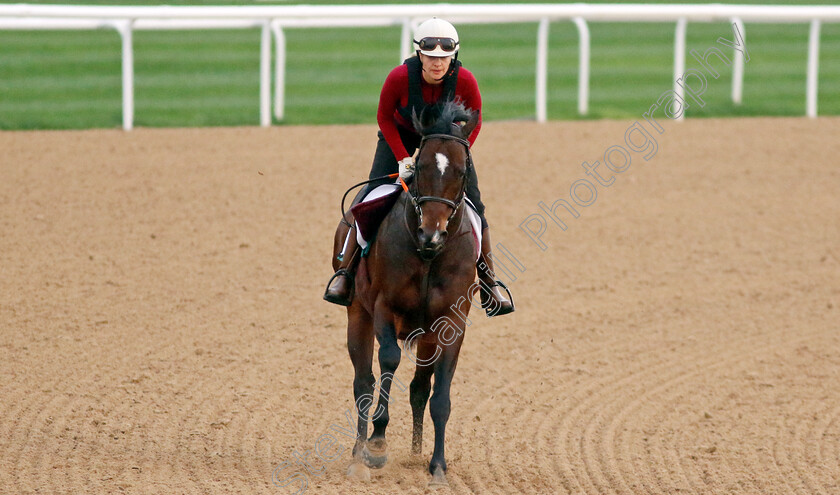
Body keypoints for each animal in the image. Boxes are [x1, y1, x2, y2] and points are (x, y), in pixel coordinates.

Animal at [334, 101, 482, 488]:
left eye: (461, 170)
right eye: (421, 166)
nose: (432, 233)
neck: (428, 255)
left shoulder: (452, 323)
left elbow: (439, 395)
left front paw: (438, 466)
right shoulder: (384, 307)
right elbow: (388, 360)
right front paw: (378, 442)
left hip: (427, 336)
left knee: (418, 387)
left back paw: (416, 454)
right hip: (357, 314)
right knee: (364, 382)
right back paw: (358, 455)